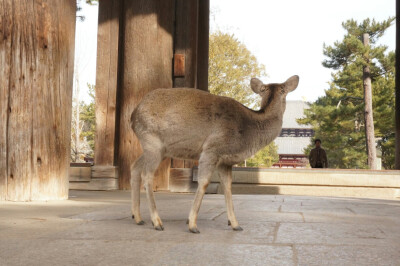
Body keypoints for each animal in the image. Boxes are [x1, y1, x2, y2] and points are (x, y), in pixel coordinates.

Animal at [130, 75, 298, 233]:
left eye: (282, 89)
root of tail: (132, 116)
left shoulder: (226, 161)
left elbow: (228, 186)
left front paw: (235, 224)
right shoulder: (211, 149)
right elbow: (204, 182)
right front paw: (192, 225)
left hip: (160, 149)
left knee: (135, 166)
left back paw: (138, 217)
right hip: (152, 142)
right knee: (147, 175)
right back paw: (157, 222)